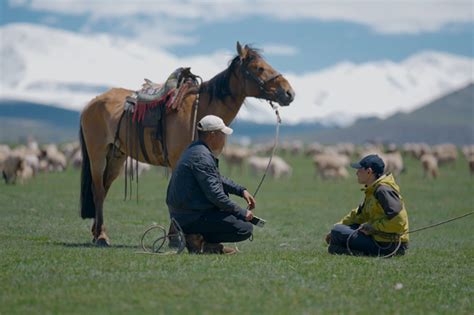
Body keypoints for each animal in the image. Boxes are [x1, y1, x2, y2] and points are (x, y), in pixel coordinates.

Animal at [81, 42, 294, 246]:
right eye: (259, 68)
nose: (289, 93)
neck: (202, 109)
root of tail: (91, 103)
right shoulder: (177, 161)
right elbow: (175, 196)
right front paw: (175, 238)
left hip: (116, 156)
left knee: (104, 189)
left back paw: (97, 233)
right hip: (97, 155)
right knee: (98, 190)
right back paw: (101, 237)